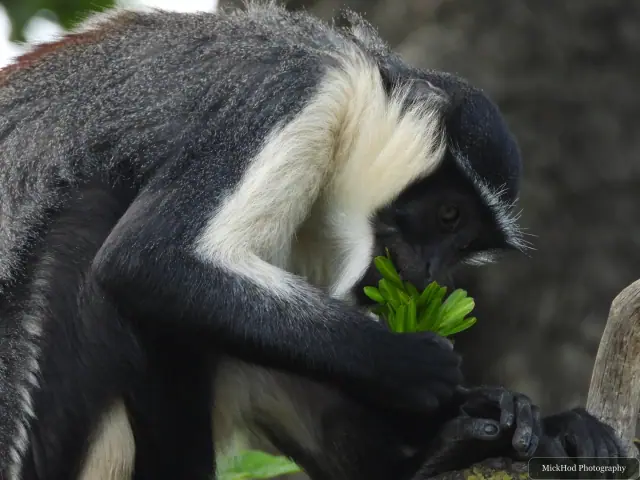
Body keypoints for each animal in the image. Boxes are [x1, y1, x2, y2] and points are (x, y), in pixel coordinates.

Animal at [0, 3, 626, 480]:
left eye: (464, 246)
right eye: (448, 216)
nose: (431, 273)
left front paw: (515, 413)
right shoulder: (295, 96)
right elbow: (146, 261)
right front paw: (413, 365)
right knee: (91, 217)